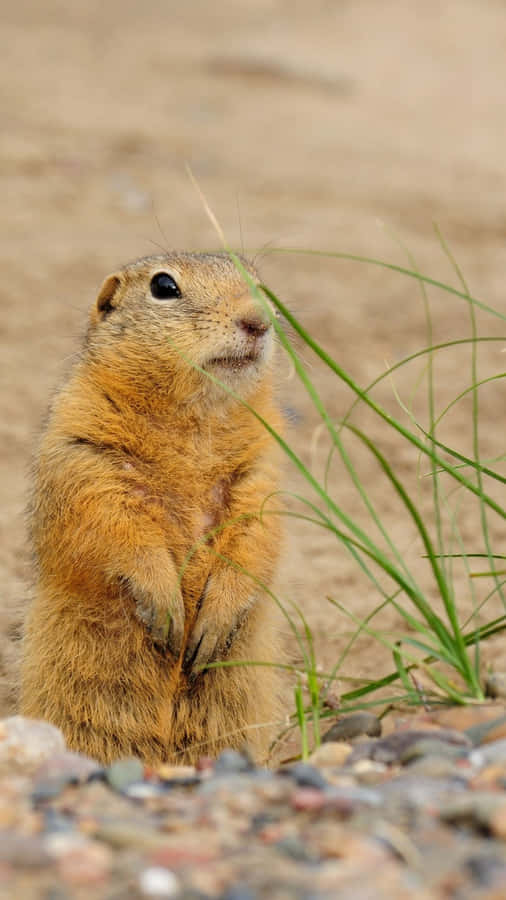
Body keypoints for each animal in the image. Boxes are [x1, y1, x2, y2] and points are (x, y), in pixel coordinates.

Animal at [20, 252, 284, 765]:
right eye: (164, 286)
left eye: (260, 282)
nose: (258, 321)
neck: (195, 419)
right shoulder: (84, 454)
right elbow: (114, 525)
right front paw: (165, 609)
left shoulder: (261, 471)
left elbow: (256, 534)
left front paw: (213, 623)